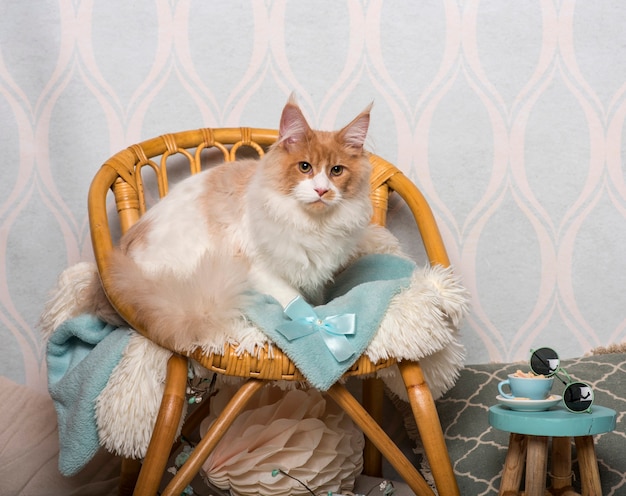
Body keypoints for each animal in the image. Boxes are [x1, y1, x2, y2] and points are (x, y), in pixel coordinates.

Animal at [100, 97, 398, 350]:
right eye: (305, 167)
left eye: (336, 171)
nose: (322, 191)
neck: (312, 224)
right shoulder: (260, 270)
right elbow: (296, 301)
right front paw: (313, 321)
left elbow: (317, 298)